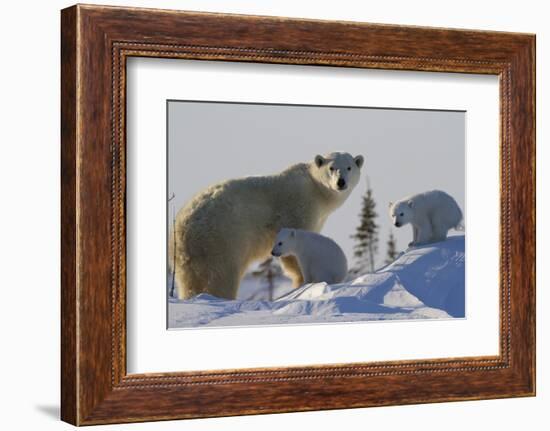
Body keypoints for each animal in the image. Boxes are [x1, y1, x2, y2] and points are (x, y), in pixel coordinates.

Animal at [170, 152, 364, 300]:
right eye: (332, 168)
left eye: (349, 167)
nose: (341, 182)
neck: (315, 189)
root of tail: (183, 228)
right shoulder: (298, 208)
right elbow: (294, 252)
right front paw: (301, 282)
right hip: (221, 240)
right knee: (222, 276)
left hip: (187, 259)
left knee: (189, 282)